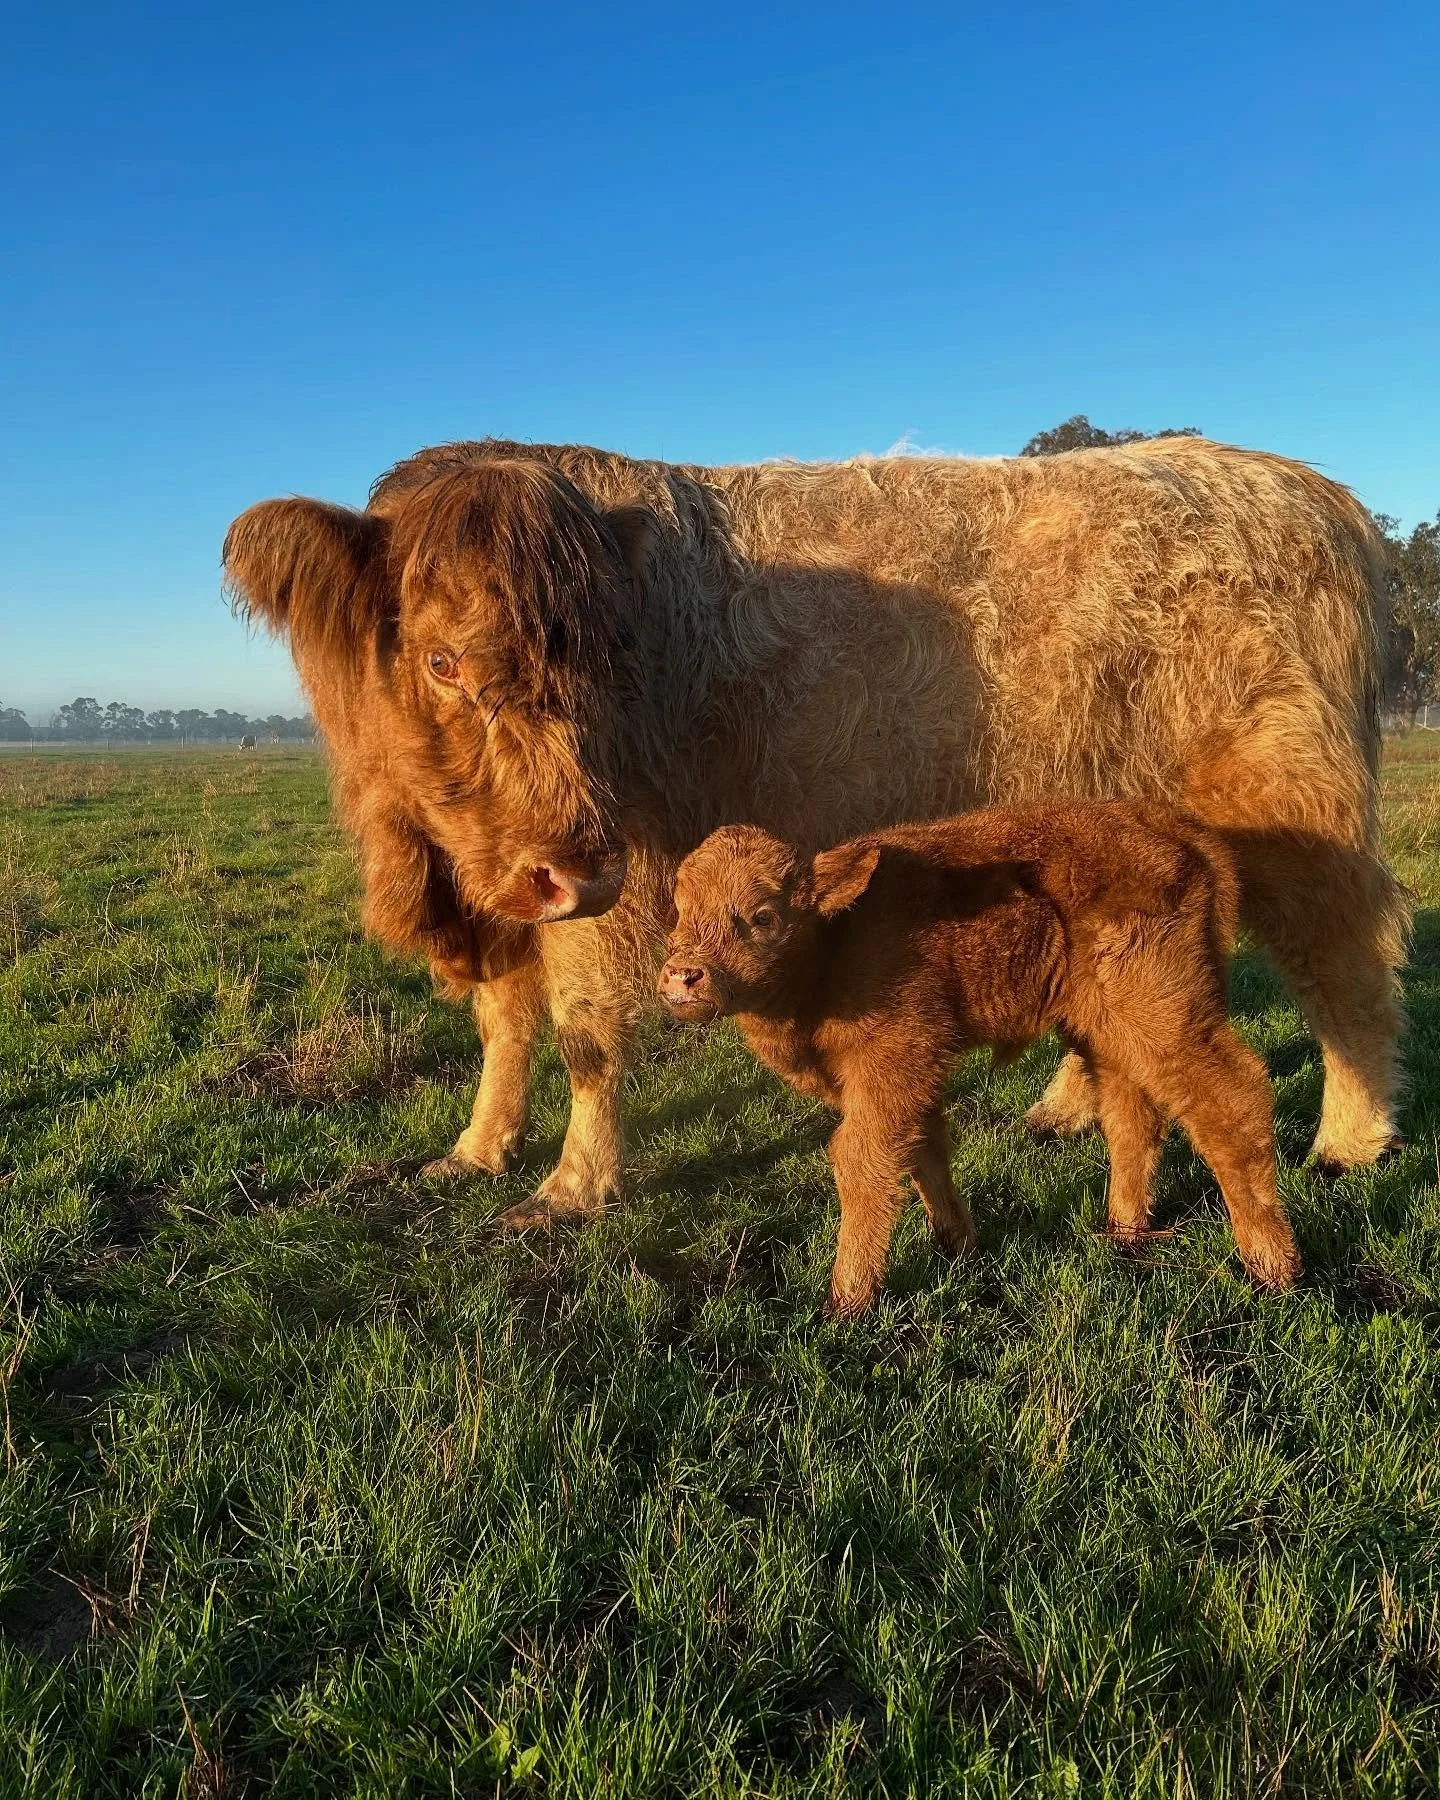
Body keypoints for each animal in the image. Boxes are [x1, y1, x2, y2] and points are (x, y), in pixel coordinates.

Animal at [223, 436, 1408, 1227]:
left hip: (1295, 809)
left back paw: (1350, 1141)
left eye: (600, 672)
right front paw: (476, 1148)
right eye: (441, 660)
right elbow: (505, 1024)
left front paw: (573, 1185)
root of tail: (1307, 487)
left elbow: (585, 1033)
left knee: (1348, 964)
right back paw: (1065, 1112)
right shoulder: (503, 887)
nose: (580, 866)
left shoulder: (618, 879)